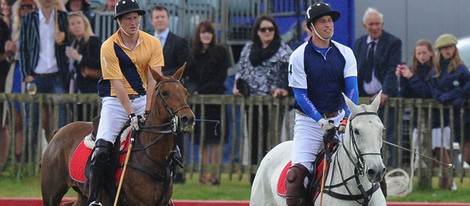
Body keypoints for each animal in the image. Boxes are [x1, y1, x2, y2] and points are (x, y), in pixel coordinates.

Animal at [40, 66, 195, 206]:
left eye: (185, 92)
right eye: (165, 92)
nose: (188, 119)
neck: (152, 157)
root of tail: (58, 132)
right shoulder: (139, 203)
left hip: (82, 194)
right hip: (52, 193)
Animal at [252, 93, 388, 206]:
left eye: (382, 129)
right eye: (356, 131)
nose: (376, 171)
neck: (358, 190)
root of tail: (272, 150)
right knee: (294, 174)